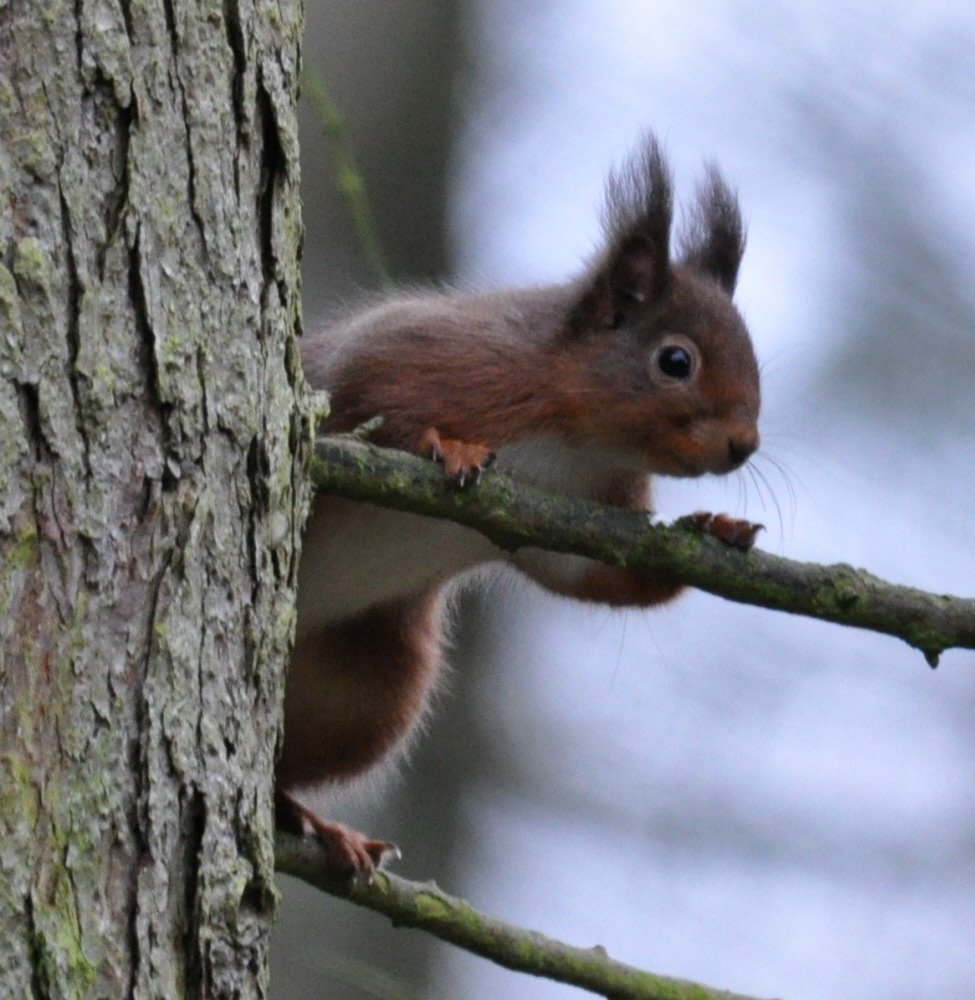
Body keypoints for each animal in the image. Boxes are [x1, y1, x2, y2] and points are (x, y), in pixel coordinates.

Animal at [277, 135, 761, 875]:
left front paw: (714, 527)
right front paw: (450, 446)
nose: (744, 445)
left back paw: (321, 827)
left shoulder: (578, 512)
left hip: (369, 695)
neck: (577, 439)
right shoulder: (428, 354)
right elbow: (375, 395)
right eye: (675, 361)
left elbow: (595, 578)